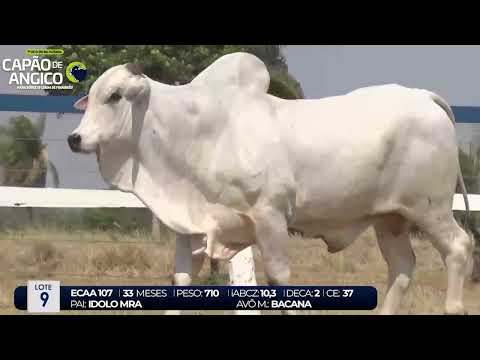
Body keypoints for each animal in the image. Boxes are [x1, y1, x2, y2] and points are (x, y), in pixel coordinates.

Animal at [69, 52, 474, 314]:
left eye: (115, 96)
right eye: (92, 98)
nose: (75, 139)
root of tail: (423, 97)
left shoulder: (270, 217)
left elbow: (281, 280)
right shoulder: (192, 226)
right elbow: (181, 280)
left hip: (431, 209)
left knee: (458, 247)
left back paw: (454, 306)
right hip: (390, 218)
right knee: (402, 268)